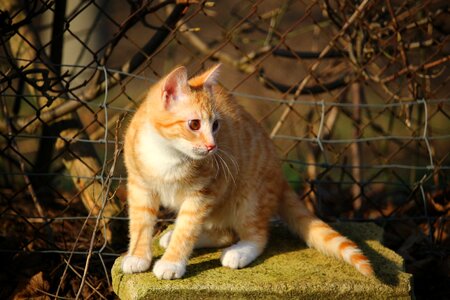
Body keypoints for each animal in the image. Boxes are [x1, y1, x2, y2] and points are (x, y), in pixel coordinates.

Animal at [120, 64, 372, 280]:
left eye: (216, 125)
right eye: (194, 124)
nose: (212, 146)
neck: (168, 152)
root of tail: (280, 176)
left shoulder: (202, 194)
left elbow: (187, 229)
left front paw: (172, 262)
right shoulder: (140, 186)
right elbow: (141, 223)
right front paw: (138, 256)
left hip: (249, 198)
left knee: (257, 235)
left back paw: (240, 251)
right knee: (226, 232)